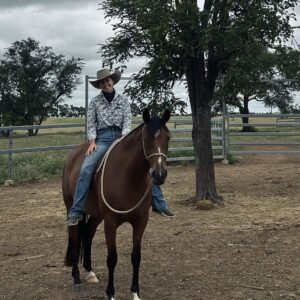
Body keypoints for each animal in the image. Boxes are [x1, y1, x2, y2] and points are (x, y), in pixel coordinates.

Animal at [62, 109, 171, 298]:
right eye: (146, 139)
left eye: (168, 138)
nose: (159, 175)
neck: (128, 176)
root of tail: (72, 156)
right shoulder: (110, 222)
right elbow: (112, 258)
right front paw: (111, 293)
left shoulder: (141, 221)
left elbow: (136, 256)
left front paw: (135, 293)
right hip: (72, 209)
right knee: (75, 239)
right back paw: (76, 279)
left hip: (96, 214)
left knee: (88, 233)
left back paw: (90, 272)